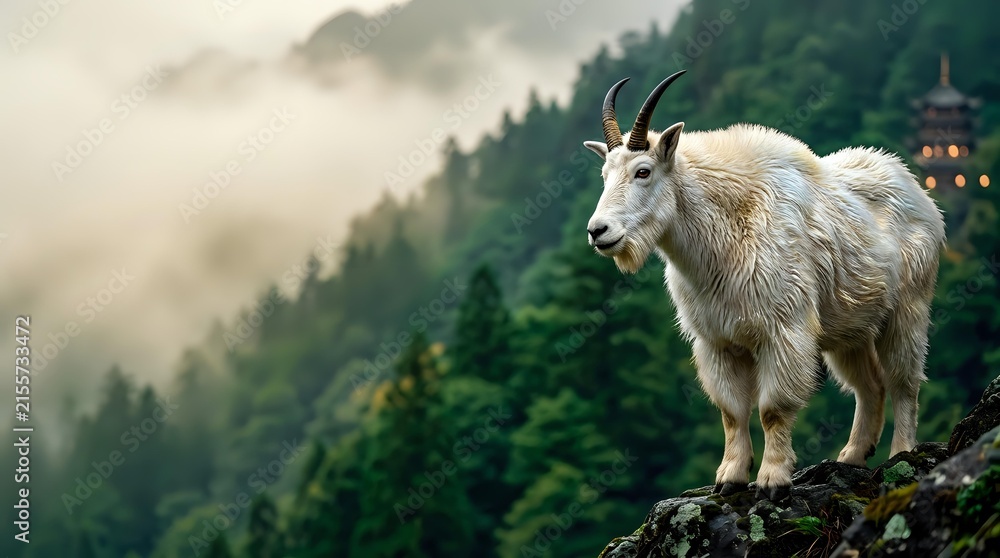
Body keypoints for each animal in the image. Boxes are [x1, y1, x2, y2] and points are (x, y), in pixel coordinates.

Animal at [583, 71, 945, 500]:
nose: (598, 231)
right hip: (850, 328)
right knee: (869, 385)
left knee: (904, 380)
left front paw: (773, 480)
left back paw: (901, 452)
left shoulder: (783, 331)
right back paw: (853, 456)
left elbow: (773, 408)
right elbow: (732, 411)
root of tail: (918, 191)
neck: (724, 232)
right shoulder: (717, 342)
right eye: (604, 175)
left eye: (643, 171)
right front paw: (729, 478)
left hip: (907, 309)